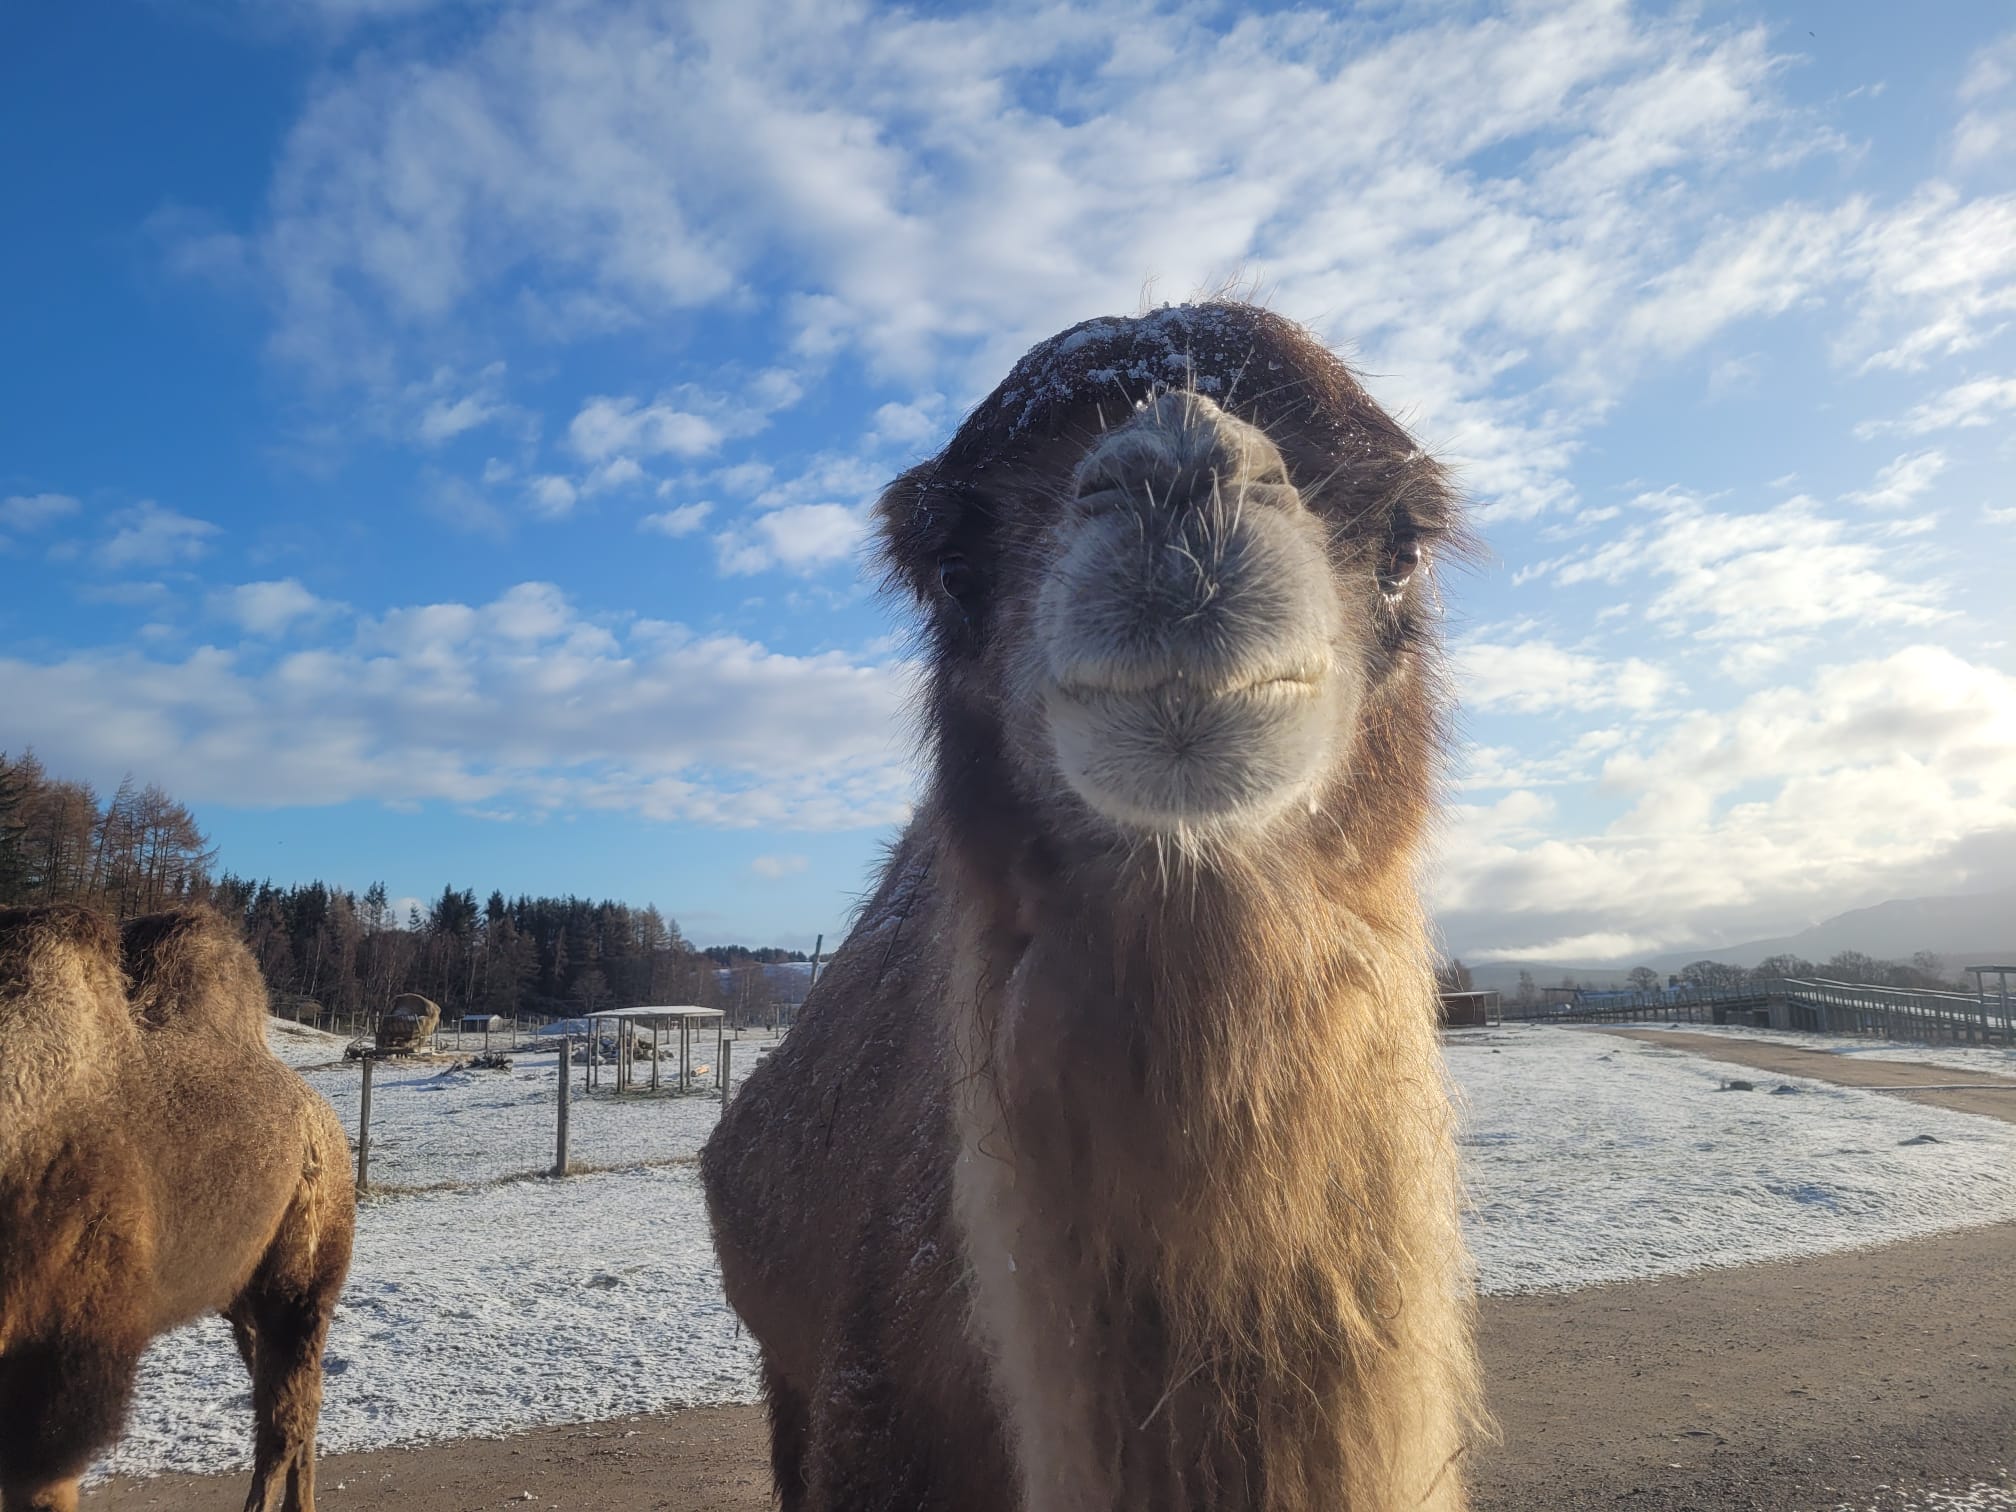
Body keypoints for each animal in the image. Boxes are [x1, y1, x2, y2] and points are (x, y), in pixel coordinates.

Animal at [0, 907, 354, 1507]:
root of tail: (324, 1120)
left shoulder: (64, 1344)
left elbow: (42, 1476)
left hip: (303, 1280)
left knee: (285, 1418)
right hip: (242, 1295)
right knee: (294, 1403)